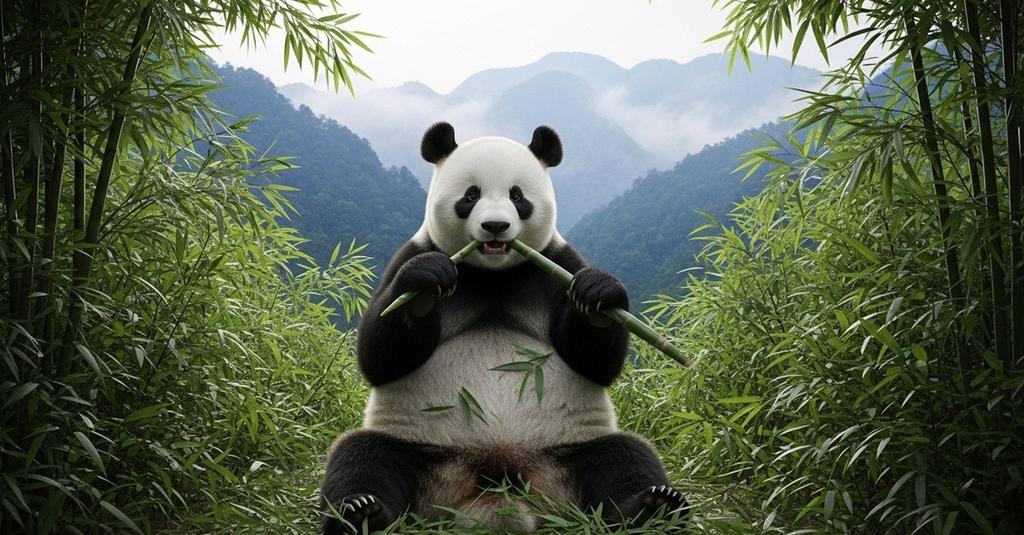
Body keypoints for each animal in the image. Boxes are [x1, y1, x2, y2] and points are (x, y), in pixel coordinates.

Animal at [320, 122, 688, 533]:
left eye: (517, 195)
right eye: (471, 195)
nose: (495, 226)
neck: (492, 273)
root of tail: (500, 481)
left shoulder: (557, 263)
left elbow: (594, 362)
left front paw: (598, 293)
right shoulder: (412, 254)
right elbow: (379, 355)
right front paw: (425, 282)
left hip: (568, 450)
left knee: (625, 457)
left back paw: (653, 506)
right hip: (423, 449)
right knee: (363, 456)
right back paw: (361, 511)